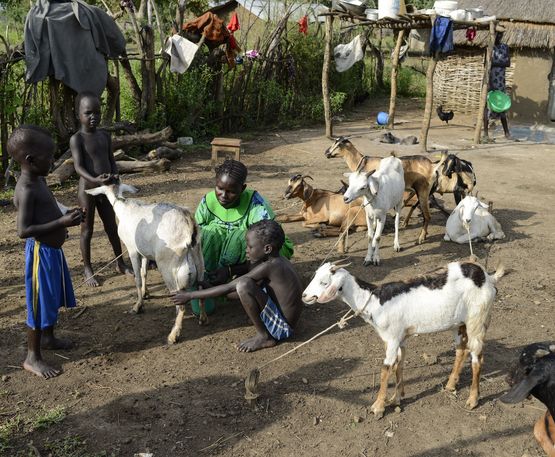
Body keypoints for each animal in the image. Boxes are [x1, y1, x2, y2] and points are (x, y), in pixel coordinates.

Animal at [87, 181, 206, 342]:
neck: (123, 206)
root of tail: (188, 227)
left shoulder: (132, 249)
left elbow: (137, 278)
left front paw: (137, 306)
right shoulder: (144, 252)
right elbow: (144, 273)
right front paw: (145, 293)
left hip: (168, 267)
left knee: (180, 304)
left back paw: (173, 335)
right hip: (199, 259)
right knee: (201, 289)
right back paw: (203, 319)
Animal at [302, 258, 506, 418]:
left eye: (324, 282)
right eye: (315, 277)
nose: (304, 296)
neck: (375, 300)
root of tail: (487, 277)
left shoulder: (392, 338)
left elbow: (385, 369)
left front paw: (378, 407)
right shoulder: (396, 338)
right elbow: (398, 364)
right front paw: (396, 398)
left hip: (477, 319)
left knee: (477, 358)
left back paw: (472, 399)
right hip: (459, 323)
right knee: (461, 349)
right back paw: (450, 385)